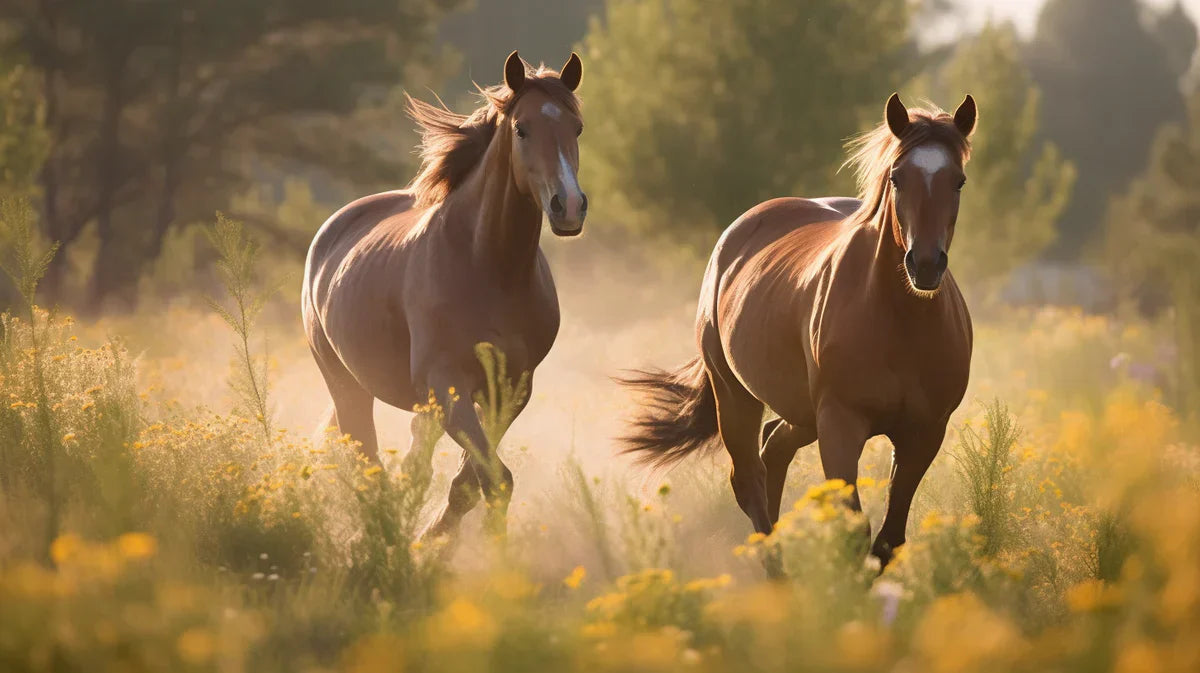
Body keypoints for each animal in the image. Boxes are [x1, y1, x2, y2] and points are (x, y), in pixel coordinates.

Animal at [302, 51, 586, 539]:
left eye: (577, 128)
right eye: (522, 129)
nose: (568, 206)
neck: (489, 268)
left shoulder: (510, 390)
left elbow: (471, 482)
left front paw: (434, 540)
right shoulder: (448, 385)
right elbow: (494, 479)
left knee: (411, 465)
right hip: (346, 385)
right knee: (369, 461)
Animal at [620, 93, 977, 566]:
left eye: (959, 181)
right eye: (897, 178)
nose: (925, 265)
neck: (900, 323)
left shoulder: (925, 432)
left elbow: (889, 538)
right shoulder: (840, 424)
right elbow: (855, 528)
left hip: (801, 413)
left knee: (774, 449)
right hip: (736, 395)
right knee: (749, 477)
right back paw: (776, 569)